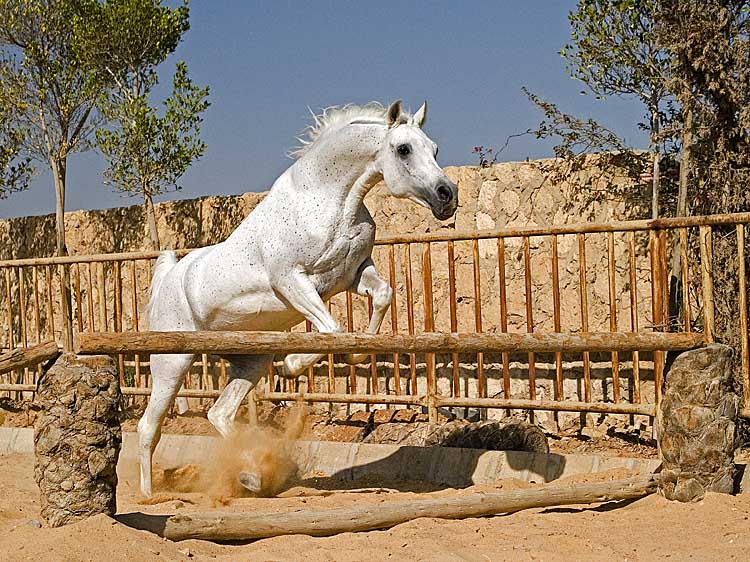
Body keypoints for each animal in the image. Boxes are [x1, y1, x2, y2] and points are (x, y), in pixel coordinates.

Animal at [138, 100, 462, 494]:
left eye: (434, 149)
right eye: (403, 149)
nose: (447, 195)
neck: (329, 202)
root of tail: (169, 277)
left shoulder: (353, 274)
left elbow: (382, 296)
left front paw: (355, 353)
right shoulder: (293, 281)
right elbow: (331, 330)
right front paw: (292, 364)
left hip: (250, 362)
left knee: (220, 414)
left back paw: (251, 477)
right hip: (172, 363)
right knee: (149, 427)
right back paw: (149, 496)